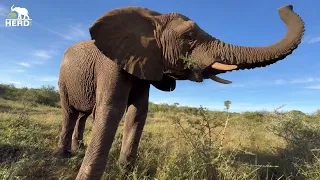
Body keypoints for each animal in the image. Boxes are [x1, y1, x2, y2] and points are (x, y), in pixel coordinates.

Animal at [54, 4, 304, 179]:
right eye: (189, 36)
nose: (286, 7)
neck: (152, 19)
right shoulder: (111, 63)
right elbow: (110, 110)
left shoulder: (145, 61)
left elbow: (138, 114)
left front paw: (125, 173)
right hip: (63, 81)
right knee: (70, 113)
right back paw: (62, 156)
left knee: (82, 115)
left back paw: (77, 149)